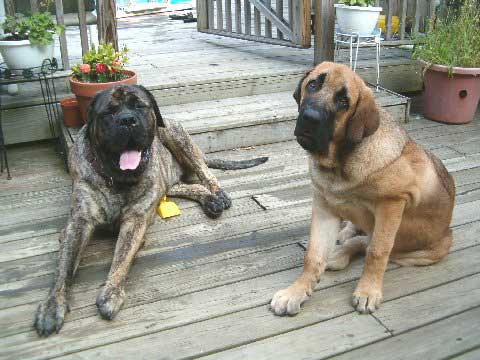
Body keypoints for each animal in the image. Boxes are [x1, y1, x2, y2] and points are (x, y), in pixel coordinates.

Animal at [33, 85, 266, 338]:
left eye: (139, 106)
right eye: (109, 112)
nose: (127, 120)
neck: (117, 178)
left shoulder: (135, 221)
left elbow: (120, 258)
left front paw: (111, 292)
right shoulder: (78, 223)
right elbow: (63, 269)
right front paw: (52, 305)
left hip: (176, 136)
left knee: (205, 172)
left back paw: (218, 194)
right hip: (167, 178)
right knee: (186, 186)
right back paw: (210, 201)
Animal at [270, 62, 454, 316]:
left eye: (343, 101)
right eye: (313, 84)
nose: (310, 118)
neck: (340, 163)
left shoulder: (392, 204)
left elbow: (377, 251)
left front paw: (368, 291)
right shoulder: (324, 208)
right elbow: (313, 256)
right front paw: (296, 291)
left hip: (425, 251)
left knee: (369, 244)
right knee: (359, 237)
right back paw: (342, 243)